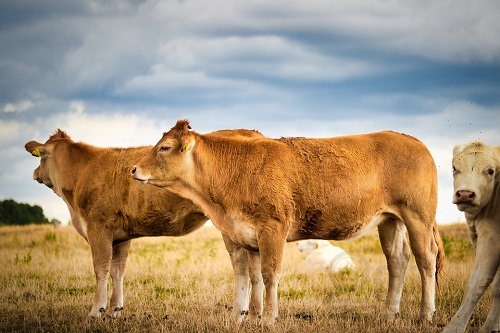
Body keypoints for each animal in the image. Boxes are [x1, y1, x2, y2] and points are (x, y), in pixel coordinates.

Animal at [24, 127, 264, 320]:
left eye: (42, 155)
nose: (34, 173)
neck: (81, 172)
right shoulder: (120, 236)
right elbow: (117, 270)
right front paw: (114, 311)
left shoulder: (98, 228)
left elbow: (101, 269)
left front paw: (96, 311)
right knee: (255, 270)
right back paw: (255, 314)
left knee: (241, 267)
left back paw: (239, 313)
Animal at [132, 120, 446, 326]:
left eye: (164, 147)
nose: (133, 169)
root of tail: (413, 141)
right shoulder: (245, 235)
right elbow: (251, 277)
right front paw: (247, 317)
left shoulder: (273, 228)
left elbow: (270, 273)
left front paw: (269, 318)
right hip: (390, 220)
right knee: (397, 260)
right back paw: (390, 314)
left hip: (417, 216)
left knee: (425, 259)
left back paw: (426, 314)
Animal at [444, 141, 498, 332]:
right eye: (454, 168)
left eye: (490, 171)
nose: (465, 194)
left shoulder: (491, 237)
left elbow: (478, 282)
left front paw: (454, 327)